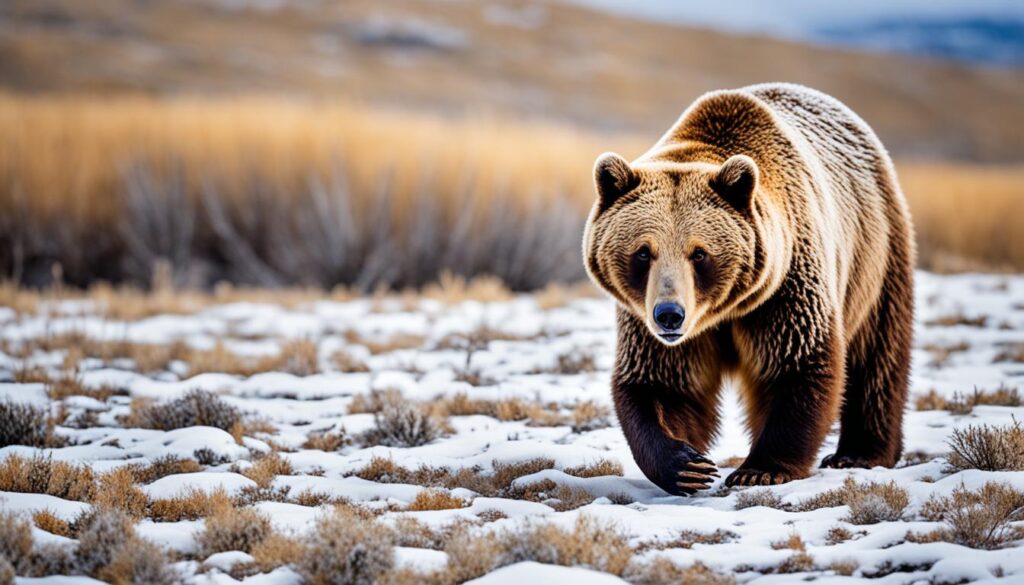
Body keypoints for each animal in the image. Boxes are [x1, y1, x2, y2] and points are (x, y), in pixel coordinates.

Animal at [585, 82, 913, 493]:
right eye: (644, 252)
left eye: (699, 253)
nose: (669, 315)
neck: (723, 313)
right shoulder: (647, 321)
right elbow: (661, 382)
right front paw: (687, 466)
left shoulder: (785, 288)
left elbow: (797, 363)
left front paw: (760, 468)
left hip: (875, 254)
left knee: (877, 355)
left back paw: (859, 452)